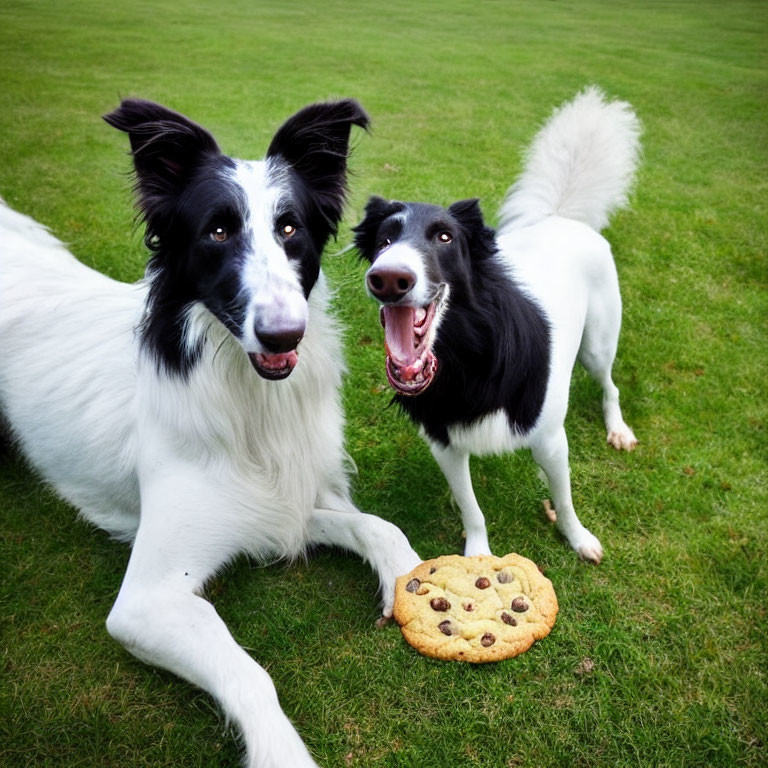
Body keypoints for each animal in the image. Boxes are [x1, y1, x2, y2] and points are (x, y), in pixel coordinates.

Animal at [0, 100, 420, 768]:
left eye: (290, 228)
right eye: (217, 232)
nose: (284, 334)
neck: (249, 401)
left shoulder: (282, 505)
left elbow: (376, 524)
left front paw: (416, 580)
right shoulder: (146, 602)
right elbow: (250, 672)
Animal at [356, 87, 640, 560]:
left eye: (445, 237)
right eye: (384, 239)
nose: (388, 278)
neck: (469, 357)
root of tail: (561, 217)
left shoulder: (550, 437)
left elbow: (565, 498)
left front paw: (578, 538)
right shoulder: (445, 444)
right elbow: (473, 507)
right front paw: (477, 554)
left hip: (598, 346)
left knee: (610, 385)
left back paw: (618, 429)